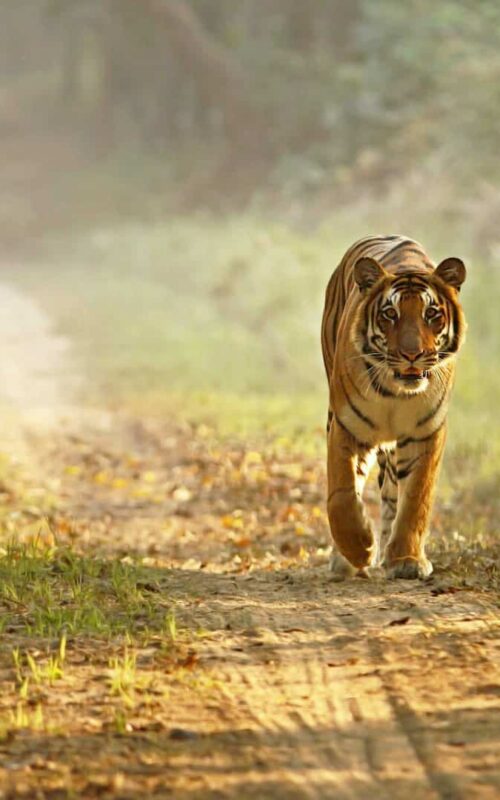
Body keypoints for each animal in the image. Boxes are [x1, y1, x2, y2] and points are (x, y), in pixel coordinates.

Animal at [321, 235, 467, 580]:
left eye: (431, 314)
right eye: (390, 314)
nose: (412, 355)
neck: (394, 393)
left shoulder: (425, 433)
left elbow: (415, 499)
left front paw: (406, 560)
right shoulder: (345, 426)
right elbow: (341, 494)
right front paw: (359, 547)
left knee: (391, 494)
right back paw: (347, 558)